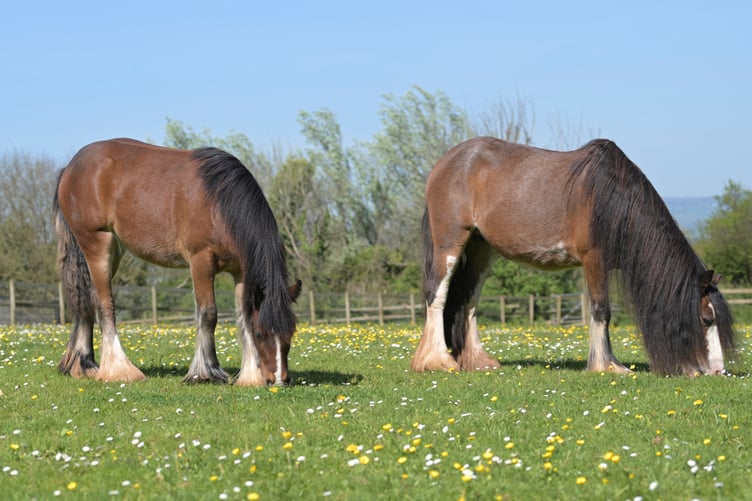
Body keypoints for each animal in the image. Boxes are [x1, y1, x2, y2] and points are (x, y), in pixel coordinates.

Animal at [53, 138, 300, 386]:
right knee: (105, 304)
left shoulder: (240, 271)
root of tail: (71, 167)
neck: (219, 204)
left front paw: (251, 376)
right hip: (97, 245)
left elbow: (244, 317)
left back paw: (83, 365)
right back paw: (119, 370)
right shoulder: (201, 261)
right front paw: (205, 373)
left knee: (86, 299)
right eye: (261, 333)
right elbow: (208, 314)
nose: (279, 380)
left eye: (291, 332)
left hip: (112, 251)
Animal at [413, 137, 736, 376]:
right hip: (449, 244)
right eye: (707, 319)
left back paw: (478, 361)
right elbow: (601, 311)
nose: (719, 371)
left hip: (481, 249)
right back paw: (438, 361)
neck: (612, 197)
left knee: (468, 300)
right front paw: (607, 366)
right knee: (436, 295)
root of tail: (445, 163)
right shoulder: (594, 260)